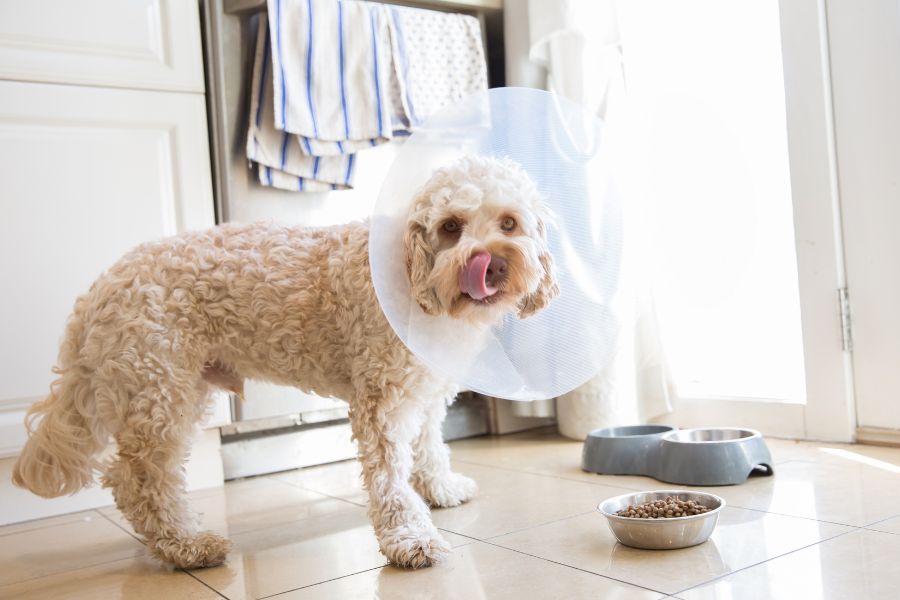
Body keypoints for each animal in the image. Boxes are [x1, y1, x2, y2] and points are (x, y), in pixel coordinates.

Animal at [14, 154, 560, 568]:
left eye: (509, 223)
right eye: (450, 227)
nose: (492, 262)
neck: (412, 278)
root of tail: (101, 286)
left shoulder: (424, 394)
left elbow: (428, 447)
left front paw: (440, 487)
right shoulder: (382, 401)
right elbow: (389, 477)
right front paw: (409, 537)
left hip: (177, 389)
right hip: (159, 393)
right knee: (139, 481)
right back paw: (186, 546)